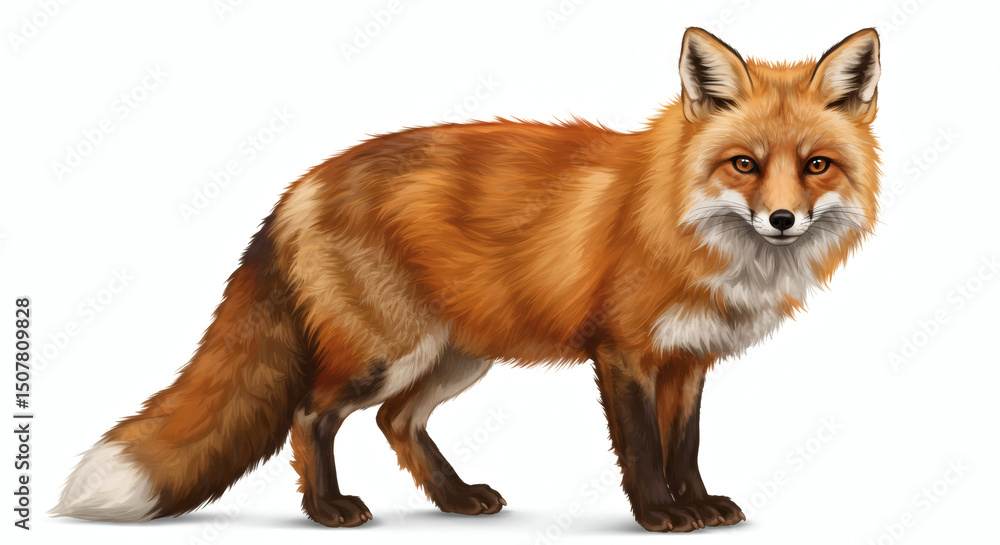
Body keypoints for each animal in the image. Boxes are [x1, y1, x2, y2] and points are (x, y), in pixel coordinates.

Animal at [53, 27, 881, 532]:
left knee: (397, 422)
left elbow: (688, 446)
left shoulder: (689, 357)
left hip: (455, 356)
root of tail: (300, 185)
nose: (782, 219)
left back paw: (455, 497)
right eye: (744, 163)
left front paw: (700, 504)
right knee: (310, 414)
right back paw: (328, 508)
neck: (688, 227)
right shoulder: (623, 352)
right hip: (387, 353)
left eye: (816, 164)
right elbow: (645, 449)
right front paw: (657, 513)